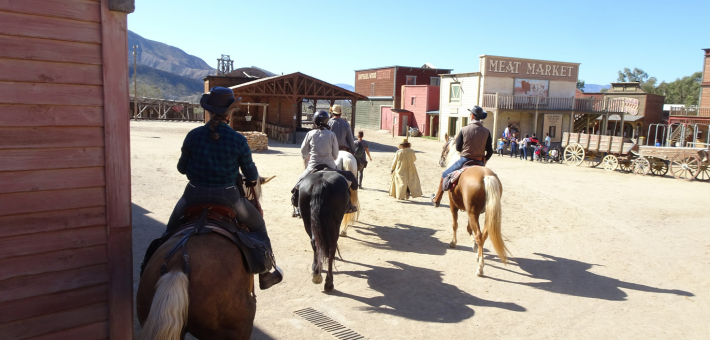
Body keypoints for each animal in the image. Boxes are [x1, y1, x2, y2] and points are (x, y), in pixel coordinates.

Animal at [442, 137, 508, 276]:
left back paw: (480, 268)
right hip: (486, 214)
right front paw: (474, 247)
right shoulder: (472, 211)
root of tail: (486, 177)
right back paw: (479, 258)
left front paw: (453, 242)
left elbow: (455, 225)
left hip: (472, 212)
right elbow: (468, 228)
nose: (441, 161)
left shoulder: (453, 205)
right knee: (483, 235)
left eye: (444, 148)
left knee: (479, 235)